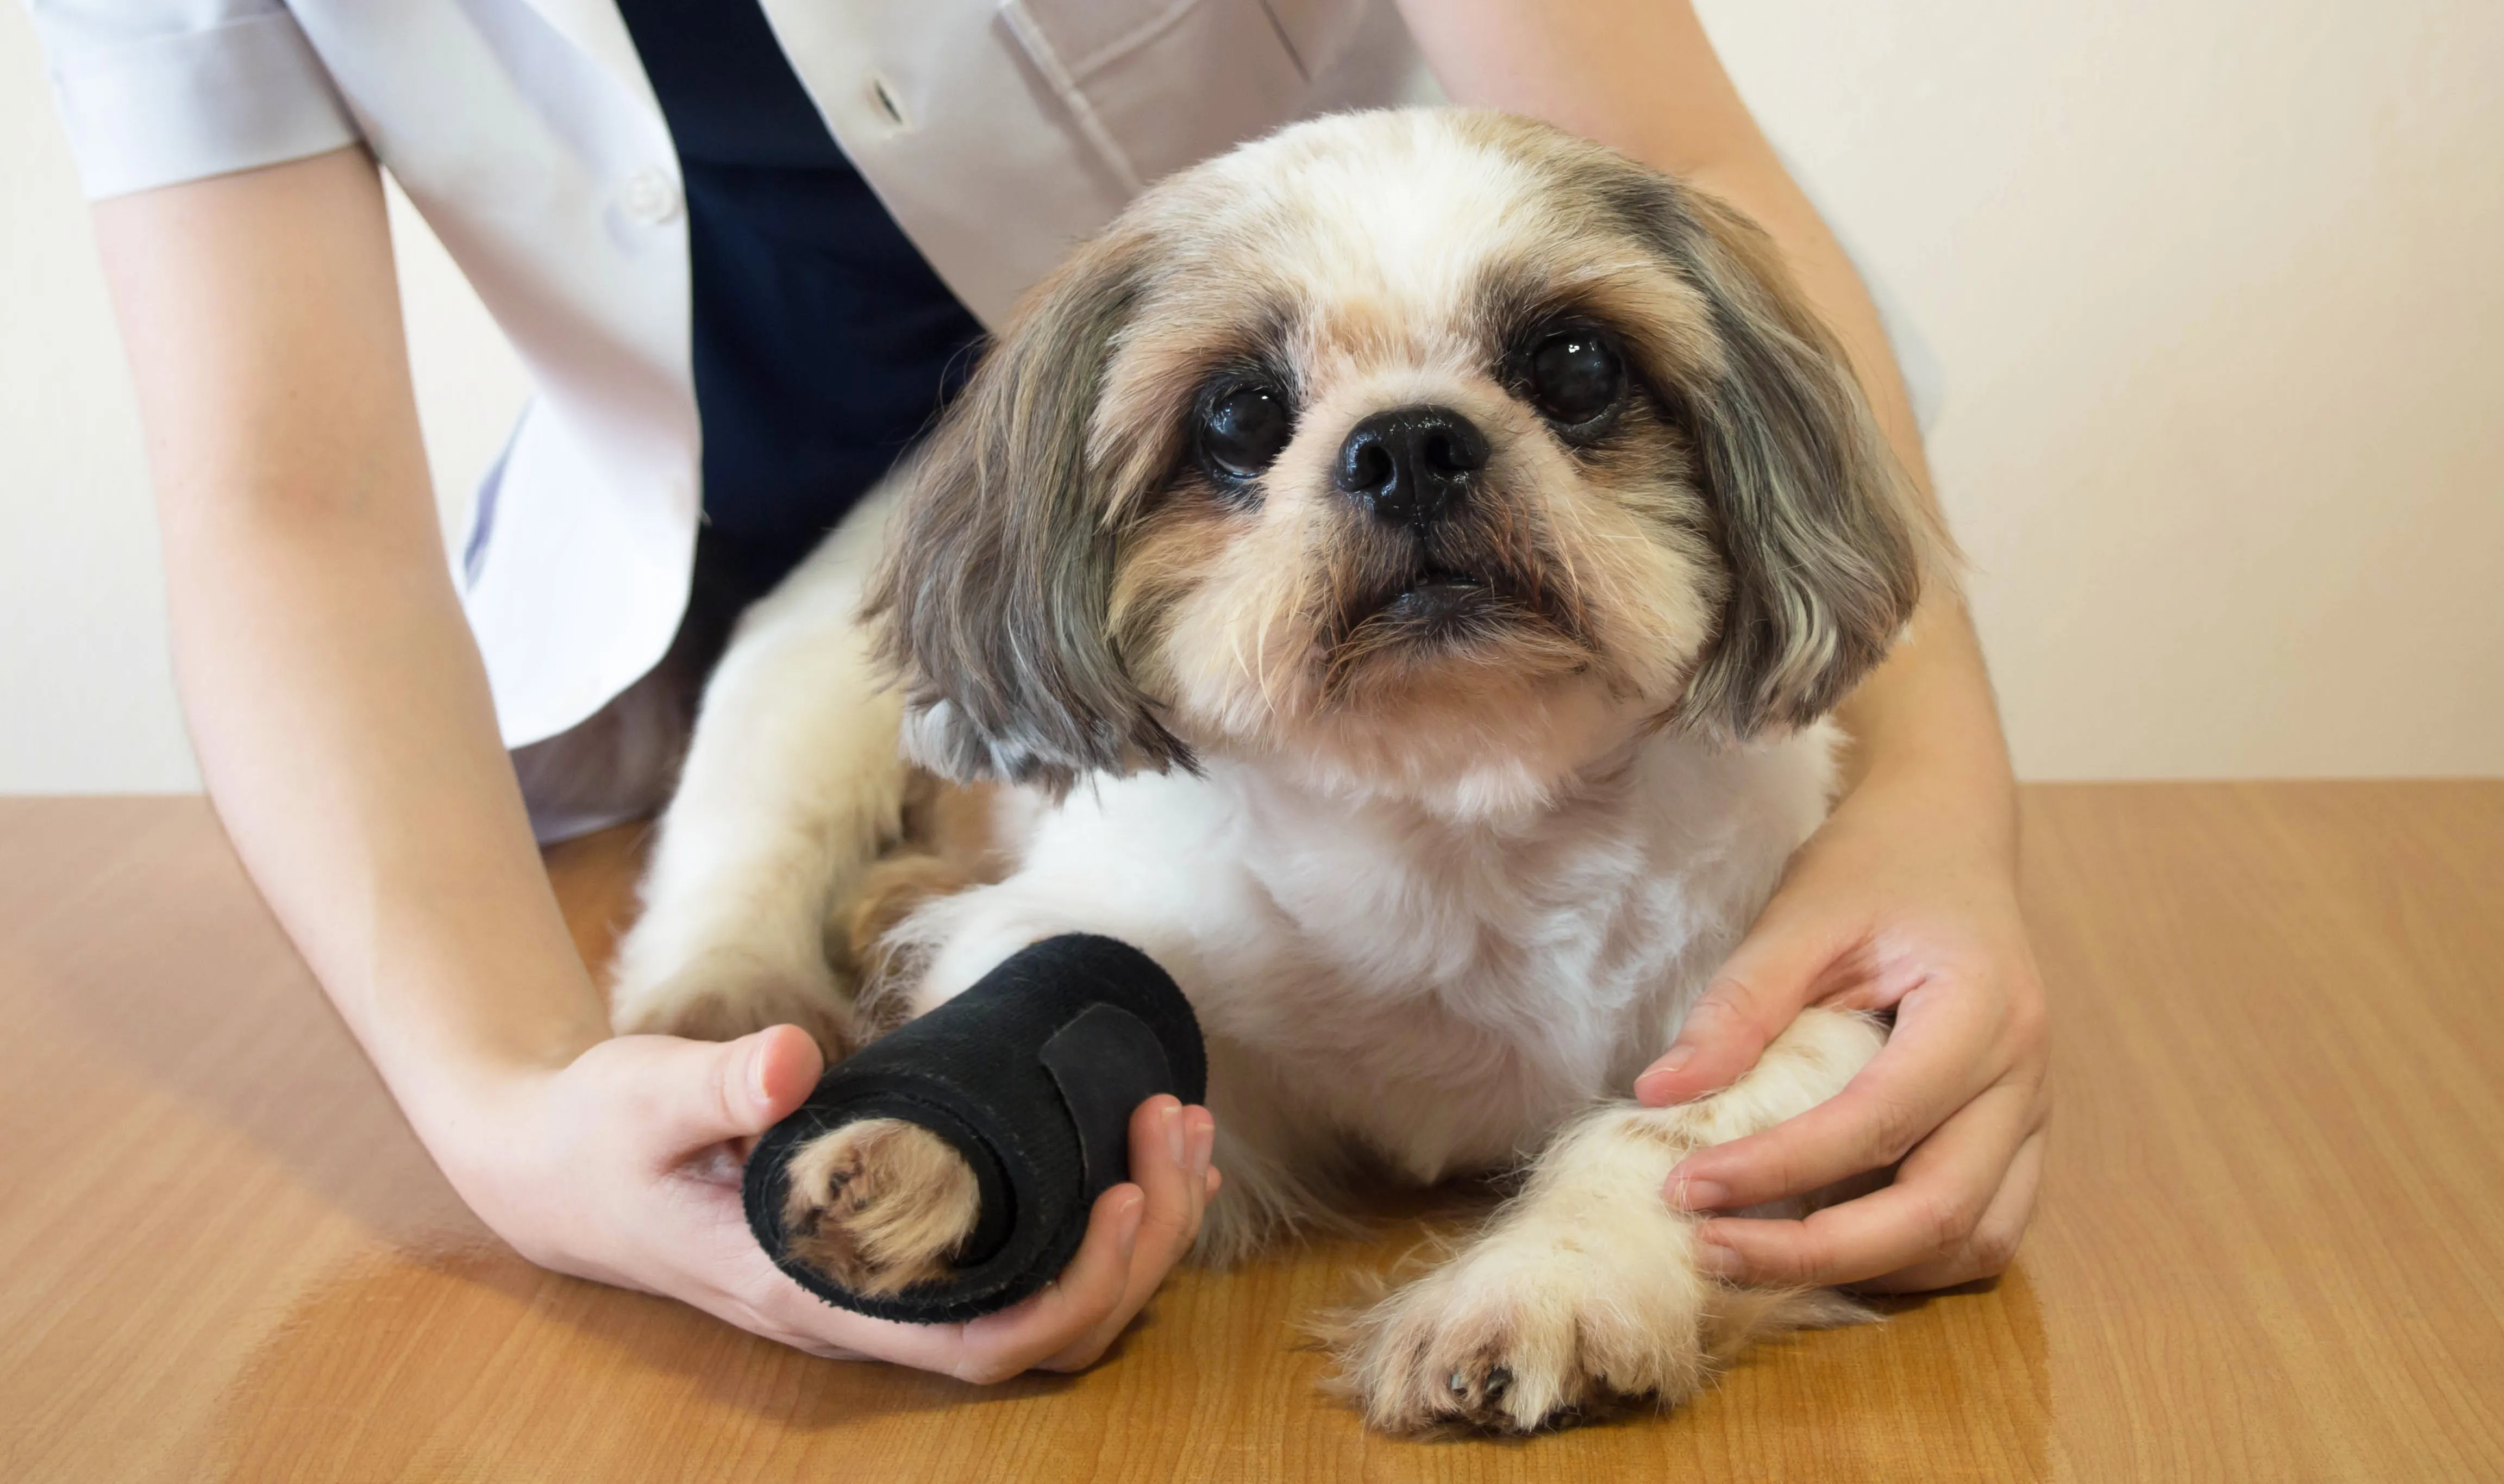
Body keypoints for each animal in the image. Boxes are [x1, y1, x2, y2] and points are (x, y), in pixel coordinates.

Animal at [606, 110, 1933, 1431]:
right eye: (1239, 416)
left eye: (1576, 366)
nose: (1409, 441)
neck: (1455, 811)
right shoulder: (1174, 1031)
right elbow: (1073, 1014)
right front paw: (917, 1152)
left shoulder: (1780, 992)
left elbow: (1682, 1135)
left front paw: (1548, 1278)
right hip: (800, 703)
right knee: (750, 854)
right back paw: (733, 988)